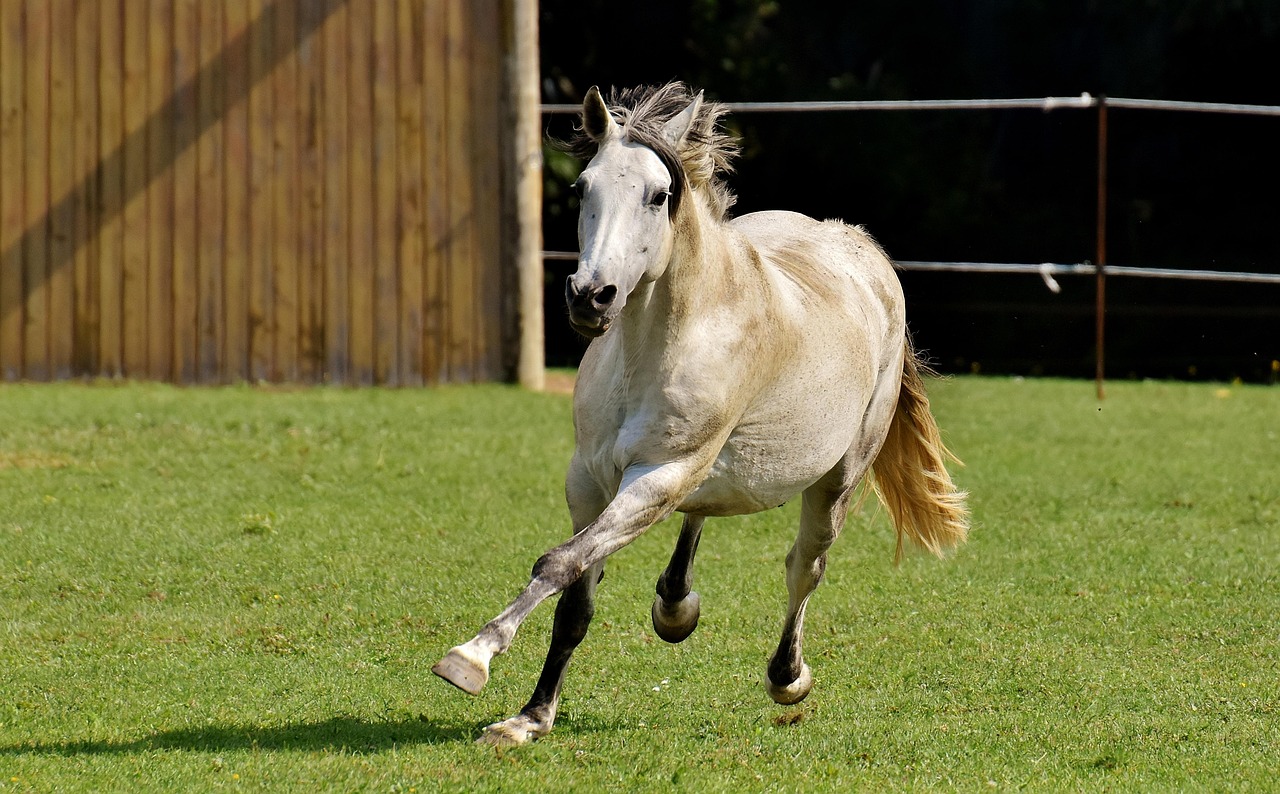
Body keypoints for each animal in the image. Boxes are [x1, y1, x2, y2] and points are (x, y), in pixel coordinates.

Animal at [435, 83, 962, 747]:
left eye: (658, 196)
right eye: (582, 187)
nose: (590, 297)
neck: (658, 348)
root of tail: (862, 246)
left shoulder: (659, 475)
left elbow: (560, 561)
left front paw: (471, 657)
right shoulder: (590, 479)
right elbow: (575, 594)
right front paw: (529, 717)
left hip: (836, 480)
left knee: (804, 568)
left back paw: (787, 676)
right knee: (702, 516)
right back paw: (674, 606)